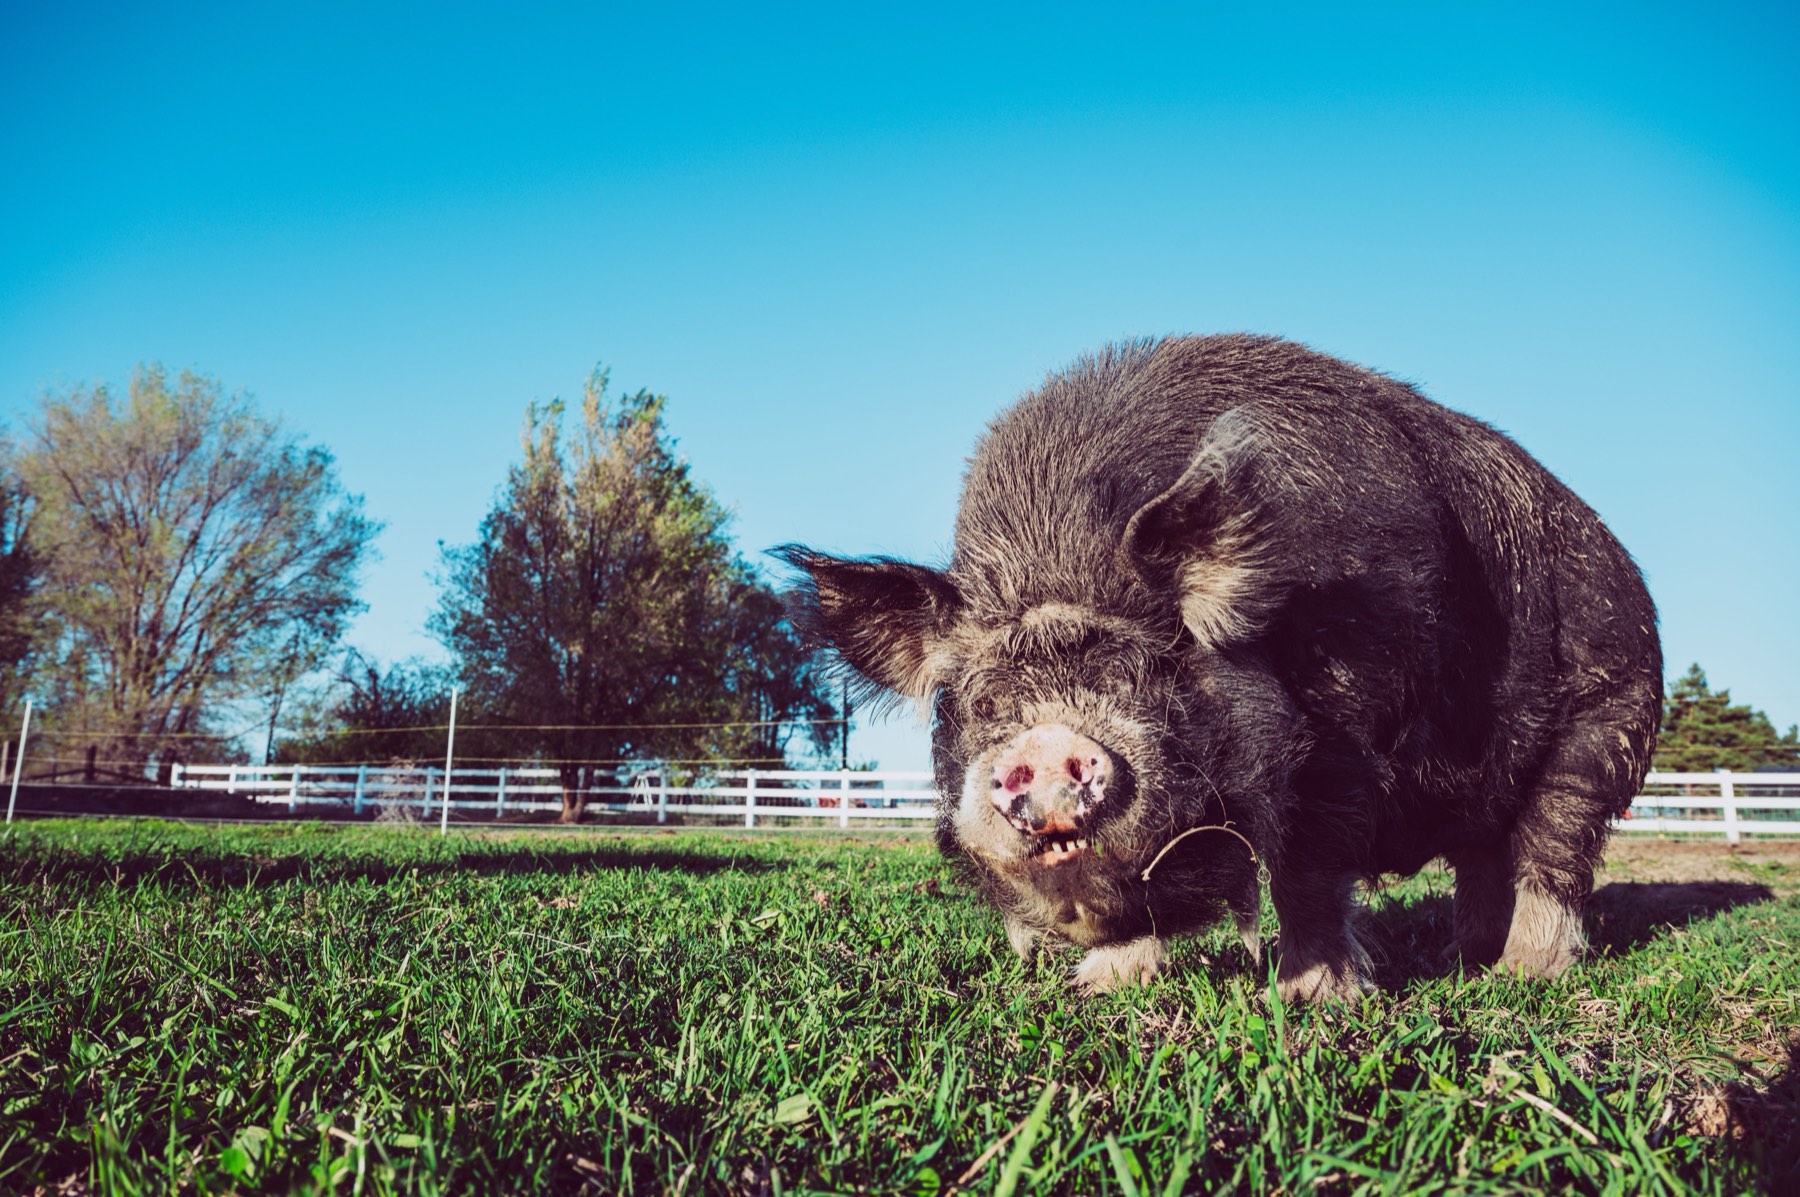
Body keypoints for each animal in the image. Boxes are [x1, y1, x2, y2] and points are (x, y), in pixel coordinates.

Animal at [778, 334, 1661, 1001]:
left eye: (1139, 671)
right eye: (987, 702)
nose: (1046, 747)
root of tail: (1630, 574)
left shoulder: (1345, 736)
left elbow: (1309, 870)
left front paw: (1312, 999)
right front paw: (1098, 988)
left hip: (1604, 722)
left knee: (1553, 850)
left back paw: (1524, 975)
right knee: (1487, 855)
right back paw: (1465, 961)